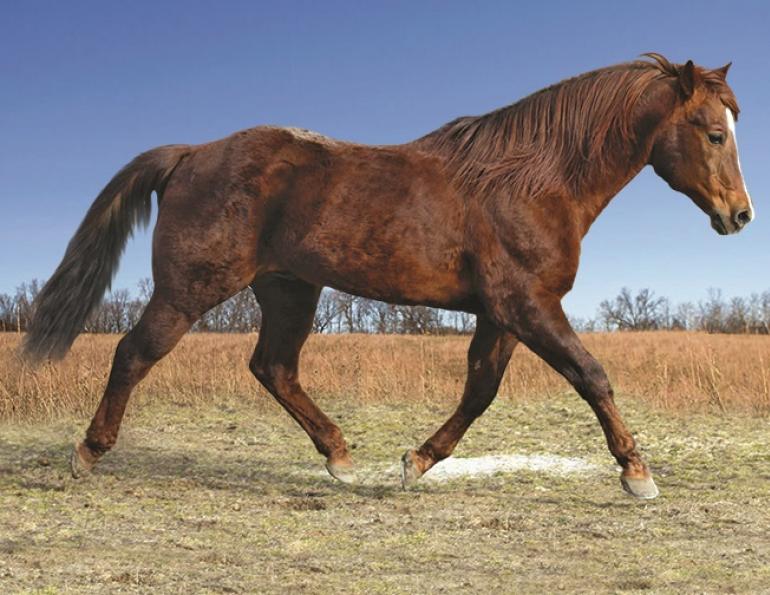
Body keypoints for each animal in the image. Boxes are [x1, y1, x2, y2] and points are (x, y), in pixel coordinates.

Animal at [23, 53, 753, 499]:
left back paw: (340, 457)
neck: (534, 178)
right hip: (191, 289)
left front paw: (415, 462)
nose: (740, 215)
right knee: (134, 352)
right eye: (715, 134)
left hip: (290, 289)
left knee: (273, 367)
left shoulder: (504, 312)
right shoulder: (528, 304)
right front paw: (638, 473)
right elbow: (590, 374)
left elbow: (480, 390)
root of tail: (191, 153)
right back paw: (87, 453)